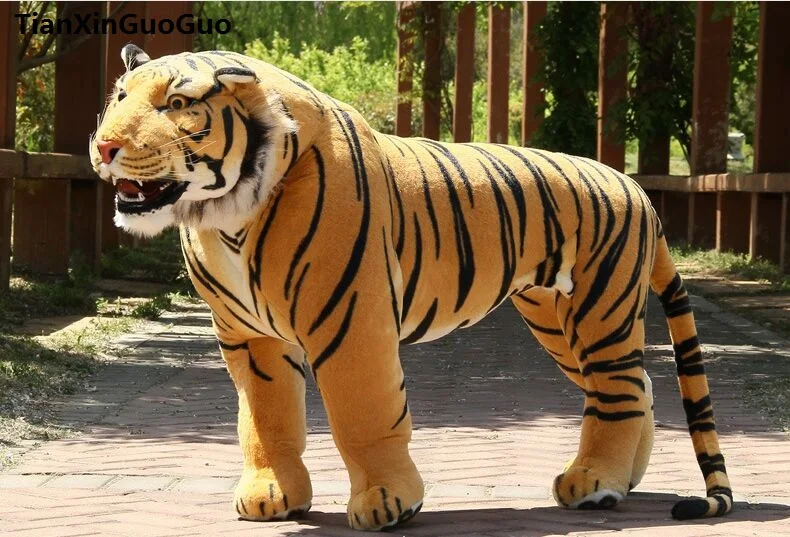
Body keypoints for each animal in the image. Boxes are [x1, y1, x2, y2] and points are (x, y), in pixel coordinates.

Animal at [90, 44, 733, 531]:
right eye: (118, 99)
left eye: (176, 104)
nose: (103, 147)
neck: (224, 213)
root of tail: (637, 189)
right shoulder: (251, 338)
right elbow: (266, 421)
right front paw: (274, 495)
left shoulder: (349, 319)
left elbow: (363, 413)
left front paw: (387, 502)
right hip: (557, 319)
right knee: (637, 387)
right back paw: (622, 479)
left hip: (599, 309)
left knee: (621, 389)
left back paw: (596, 484)